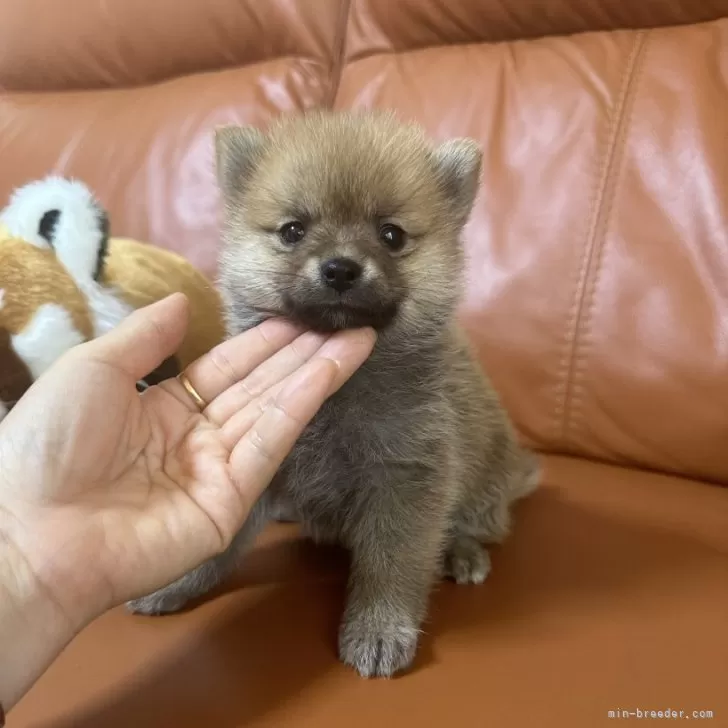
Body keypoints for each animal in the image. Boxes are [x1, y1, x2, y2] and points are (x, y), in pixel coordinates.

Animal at [129, 111, 540, 680]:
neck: (340, 394)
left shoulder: (408, 474)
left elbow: (394, 562)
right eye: (293, 230)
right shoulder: (262, 464)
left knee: (479, 522)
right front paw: (176, 581)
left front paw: (379, 628)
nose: (341, 268)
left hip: (483, 486)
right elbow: (218, 542)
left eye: (391, 235)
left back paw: (464, 553)